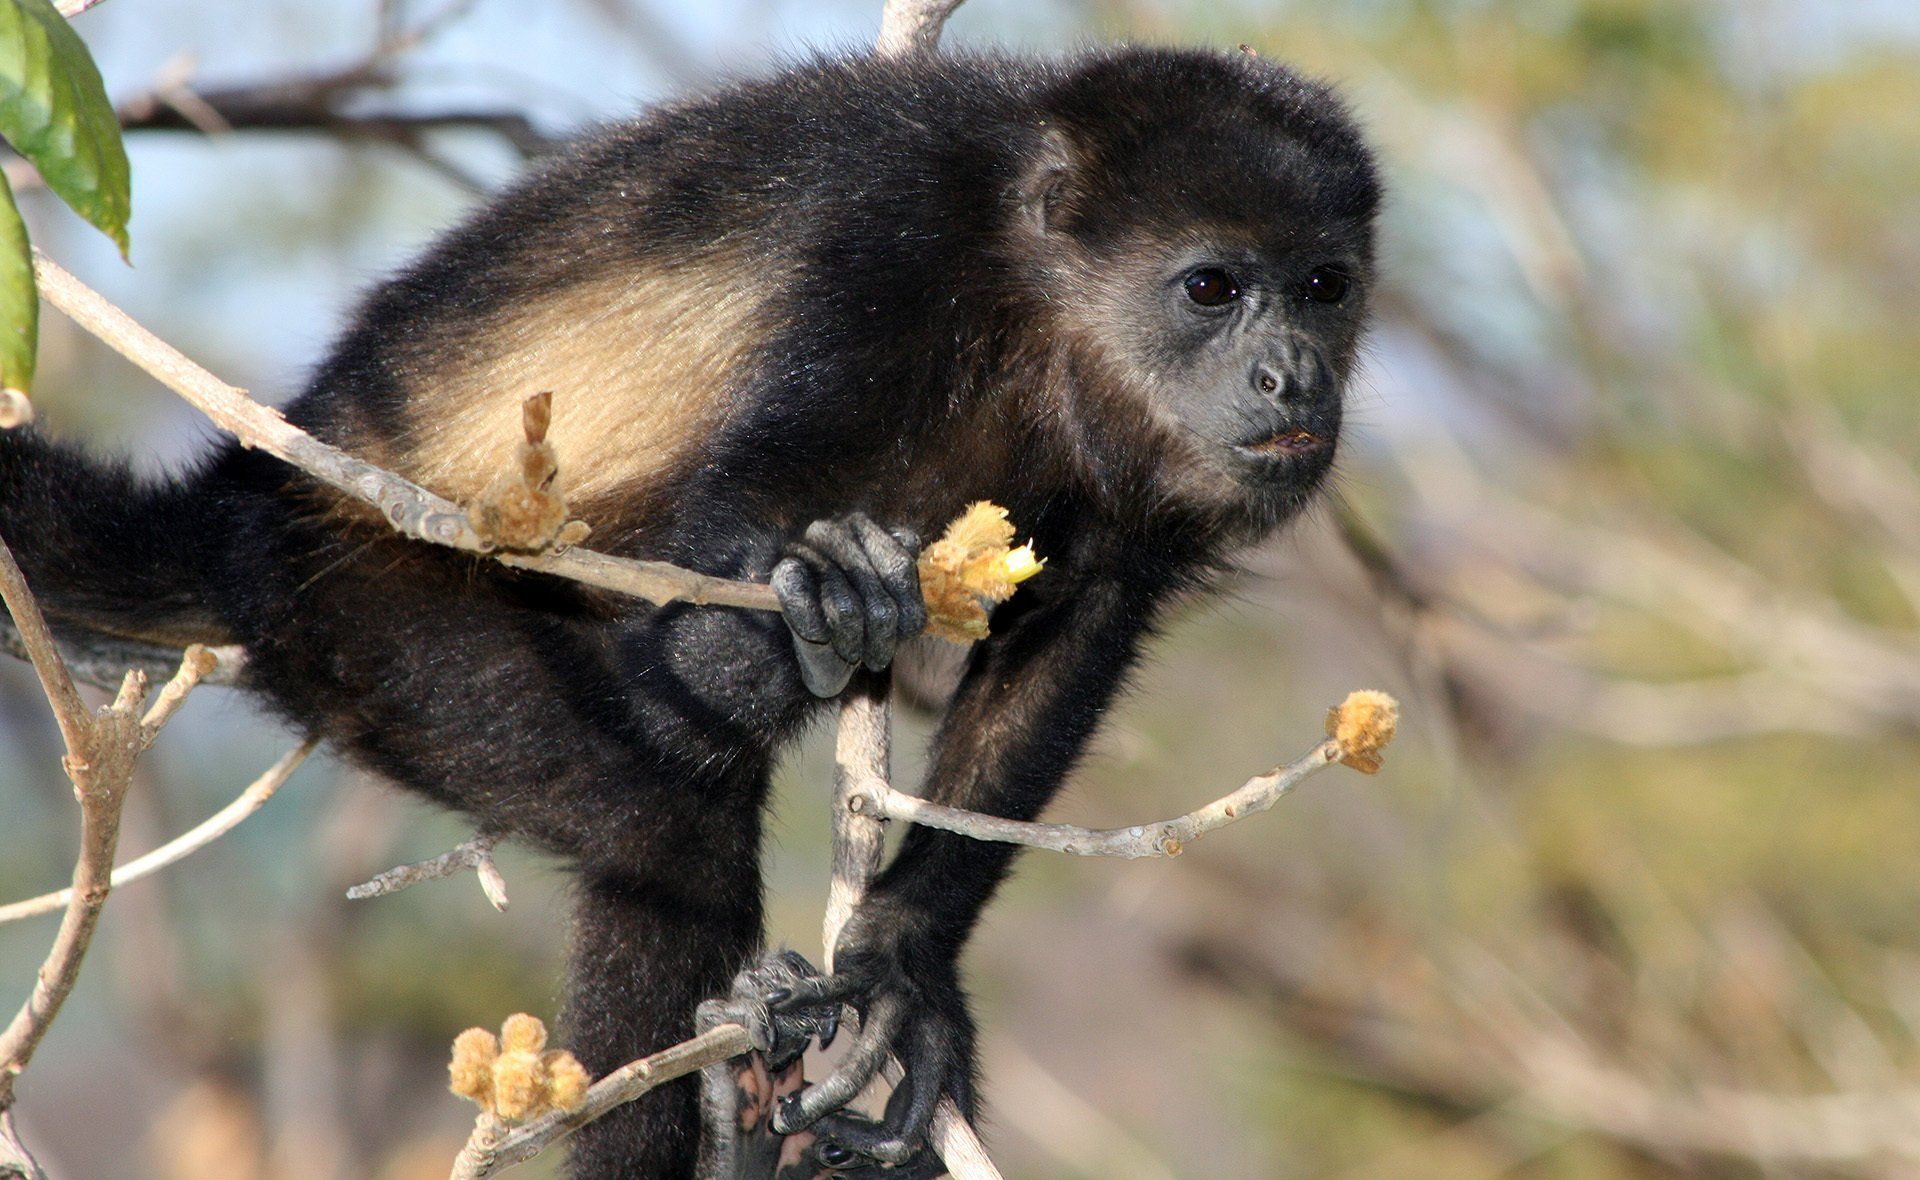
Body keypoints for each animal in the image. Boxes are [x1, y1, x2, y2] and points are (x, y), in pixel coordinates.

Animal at [0, 46, 1379, 1178]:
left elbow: (1071, 641)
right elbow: (699, 608)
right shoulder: (882, 270)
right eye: (1209, 287)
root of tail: (245, 501)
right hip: (355, 615)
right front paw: (816, 593)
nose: (1293, 376)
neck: (1038, 294)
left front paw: (904, 967)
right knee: (654, 829)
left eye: (1323, 285)